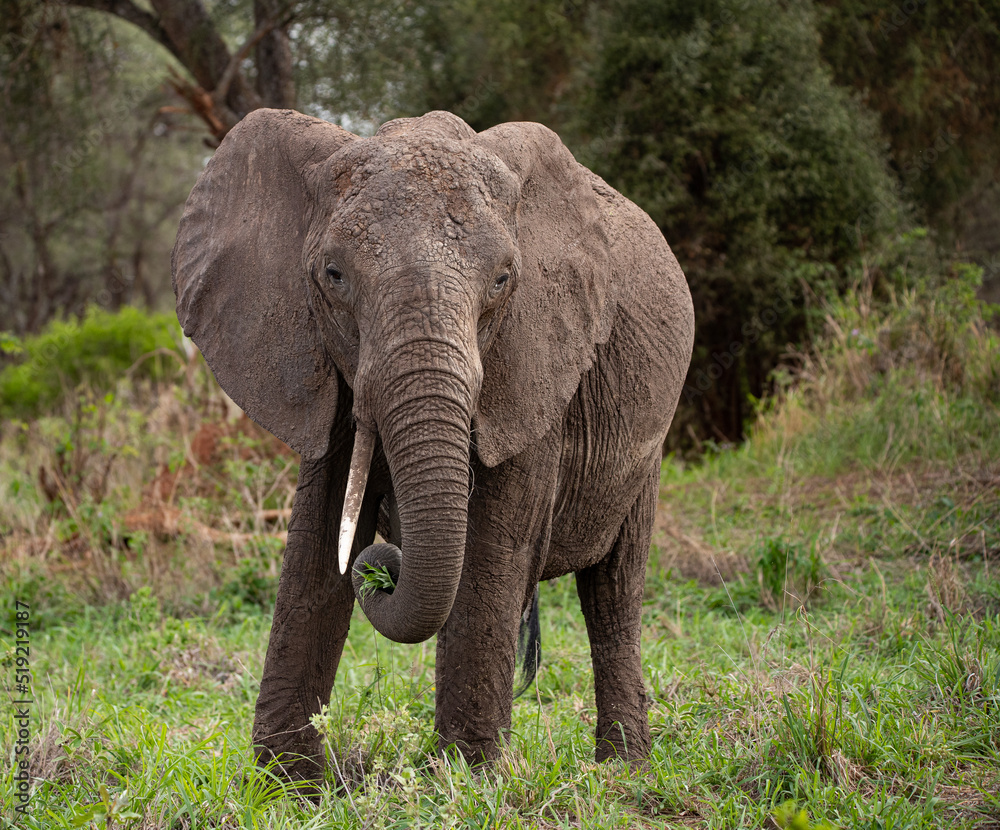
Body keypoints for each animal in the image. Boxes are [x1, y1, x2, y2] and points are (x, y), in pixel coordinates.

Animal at [171, 108, 694, 785]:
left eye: (503, 280)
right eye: (333, 276)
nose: (382, 569)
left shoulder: (533, 360)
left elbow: (494, 543)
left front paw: (465, 778)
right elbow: (318, 535)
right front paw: (292, 784)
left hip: (648, 438)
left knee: (612, 592)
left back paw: (623, 774)